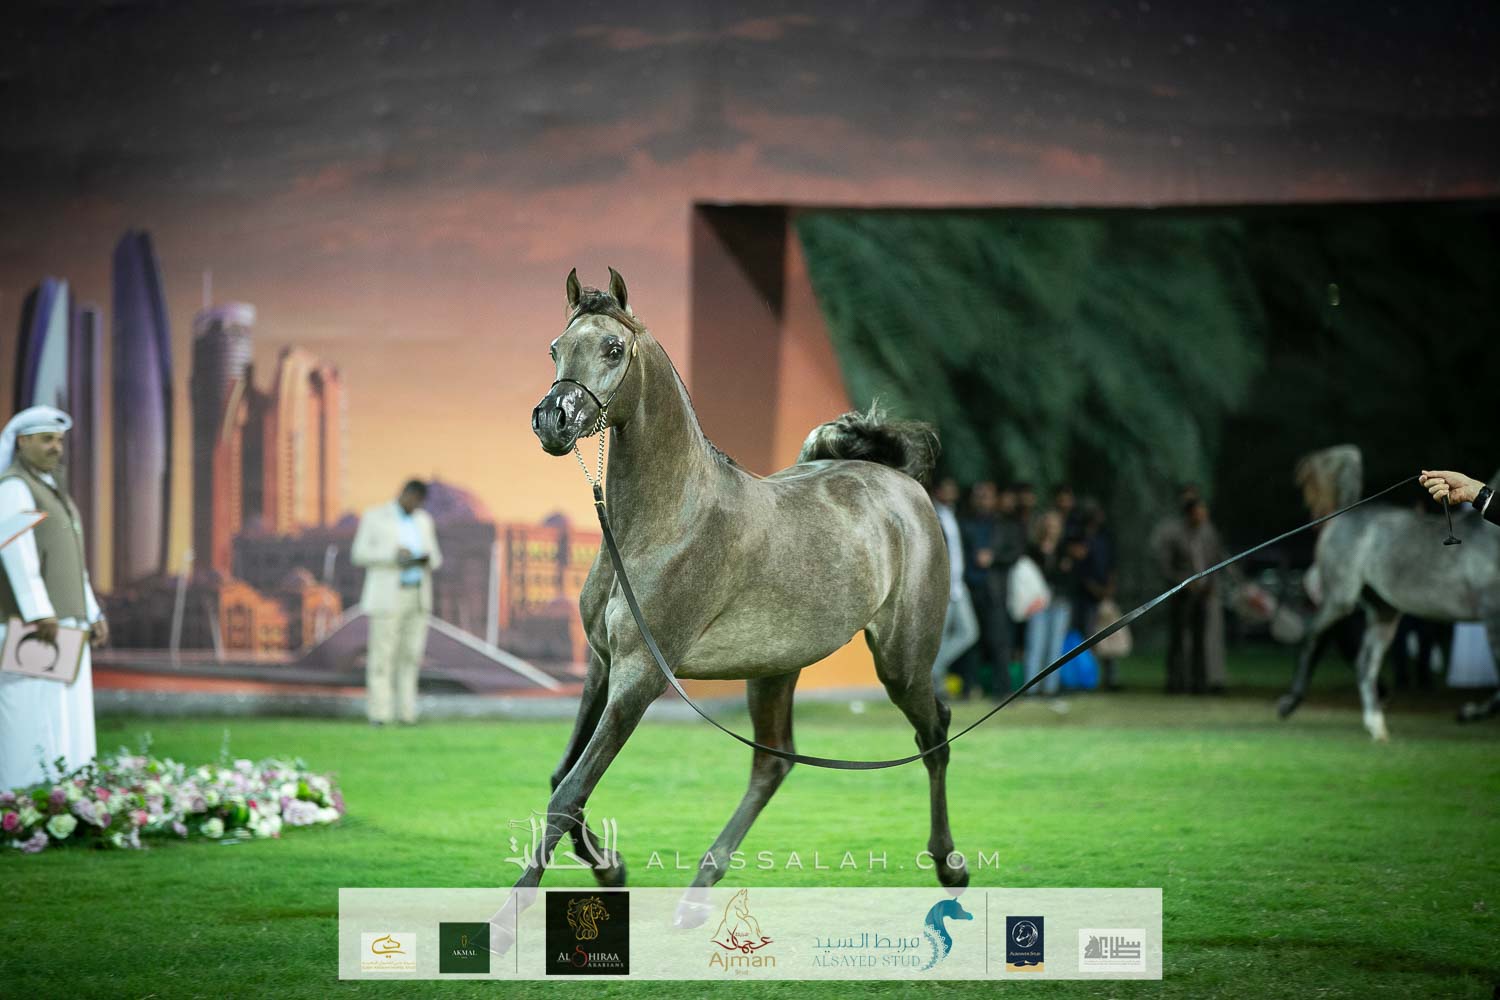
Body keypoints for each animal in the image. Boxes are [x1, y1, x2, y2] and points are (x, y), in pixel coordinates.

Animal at [499, 267, 963, 939]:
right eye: (556, 348)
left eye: (612, 348)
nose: (552, 421)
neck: (664, 523)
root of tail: (900, 484)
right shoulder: (602, 665)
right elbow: (567, 778)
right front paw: (612, 870)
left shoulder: (639, 677)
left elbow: (568, 795)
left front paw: (505, 921)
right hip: (775, 670)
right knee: (774, 763)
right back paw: (697, 896)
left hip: (901, 659)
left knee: (935, 734)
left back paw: (951, 865)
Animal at [1277, 444, 1500, 740]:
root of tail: (1346, 513)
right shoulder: (1492, 614)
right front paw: (1468, 712)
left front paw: (1469, 712)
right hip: (1340, 598)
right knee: (1312, 634)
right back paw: (1289, 703)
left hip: (1384, 611)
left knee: (1364, 664)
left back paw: (1377, 726)